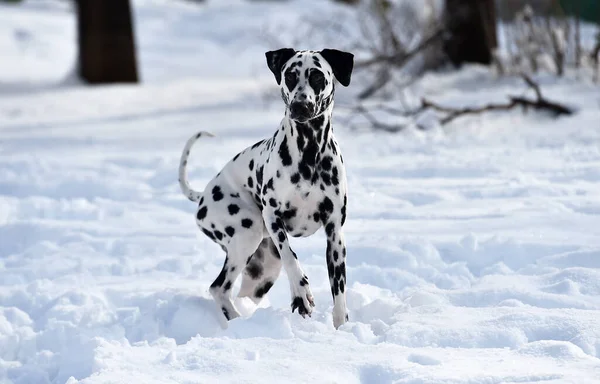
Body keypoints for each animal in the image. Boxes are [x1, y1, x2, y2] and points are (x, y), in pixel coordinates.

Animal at [178, 48, 354, 330]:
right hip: (246, 234)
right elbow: (292, 258)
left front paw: (341, 327)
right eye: (290, 76)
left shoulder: (335, 234)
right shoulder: (273, 218)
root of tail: (203, 194)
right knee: (218, 288)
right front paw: (302, 293)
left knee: (238, 292)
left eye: (317, 76)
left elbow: (339, 293)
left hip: (263, 270)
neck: (309, 151)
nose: (300, 106)